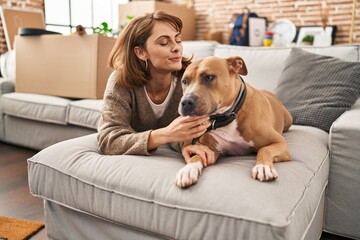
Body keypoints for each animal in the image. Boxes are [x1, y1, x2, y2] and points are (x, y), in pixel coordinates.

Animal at [176, 55, 292, 188]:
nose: (185, 102)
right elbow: (196, 156)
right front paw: (188, 170)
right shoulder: (210, 150)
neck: (227, 116)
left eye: (208, 77)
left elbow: (265, 149)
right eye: (184, 81)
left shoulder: (280, 142)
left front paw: (263, 167)